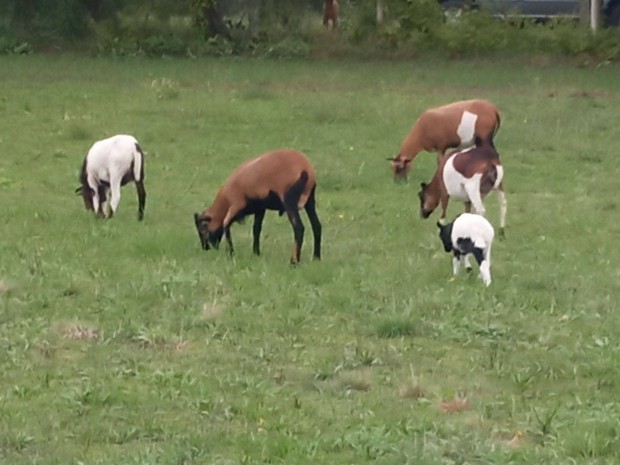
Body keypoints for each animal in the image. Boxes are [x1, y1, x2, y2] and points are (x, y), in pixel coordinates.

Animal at [194, 150, 322, 264]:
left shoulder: (237, 204)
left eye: (203, 228)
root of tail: (306, 169)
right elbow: (256, 229)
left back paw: (294, 262)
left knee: (299, 227)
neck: (226, 199)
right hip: (310, 199)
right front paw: (256, 253)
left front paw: (231, 253)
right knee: (317, 226)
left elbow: (226, 224)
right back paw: (316, 258)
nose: (205, 248)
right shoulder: (260, 208)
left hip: (289, 199)